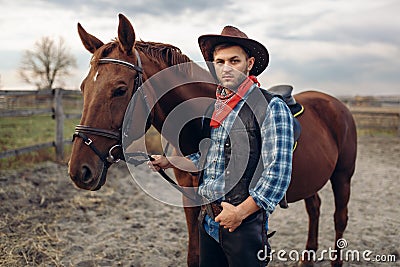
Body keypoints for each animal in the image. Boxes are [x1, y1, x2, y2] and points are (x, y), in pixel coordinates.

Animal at [68, 14, 356, 267]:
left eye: (120, 89)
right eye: (83, 88)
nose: (79, 170)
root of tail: (335, 104)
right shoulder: (191, 200)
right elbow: (195, 255)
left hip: (342, 175)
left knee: (339, 218)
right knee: (315, 208)